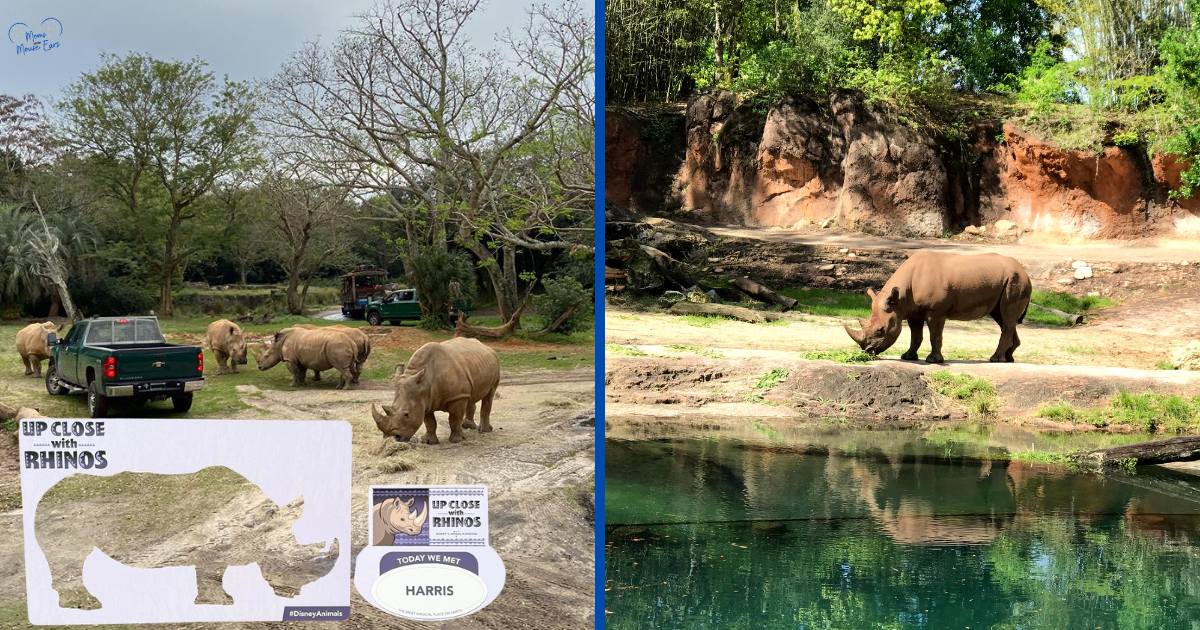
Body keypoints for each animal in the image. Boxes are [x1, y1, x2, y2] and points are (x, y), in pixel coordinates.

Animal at [34, 466, 339, 610]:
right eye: (283, 559)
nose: (292, 595)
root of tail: (45, 491)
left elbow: (213, 574)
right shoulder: (212, 546)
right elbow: (211, 575)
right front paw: (222, 603)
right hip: (59, 513)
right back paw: (87, 605)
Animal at [370, 337, 500, 444]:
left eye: (406, 414)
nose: (392, 437)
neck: (425, 382)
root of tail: (485, 346)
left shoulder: (457, 397)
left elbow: (454, 419)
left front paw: (457, 440)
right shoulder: (424, 400)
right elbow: (429, 422)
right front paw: (428, 441)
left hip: (495, 362)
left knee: (489, 395)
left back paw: (485, 430)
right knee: (471, 395)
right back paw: (467, 426)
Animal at [843, 251, 1032, 363]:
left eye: (880, 330)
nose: (867, 351)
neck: (899, 299)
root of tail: (1024, 271)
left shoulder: (936, 311)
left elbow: (935, 335)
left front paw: (933, 361)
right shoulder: (912, 311)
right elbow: (916, 336)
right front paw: (908, 357)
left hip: (1015, 281)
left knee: (1007, 318)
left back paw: (995, 359)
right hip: (1007, 281)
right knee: (1003, 318)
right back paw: (1008, 358)